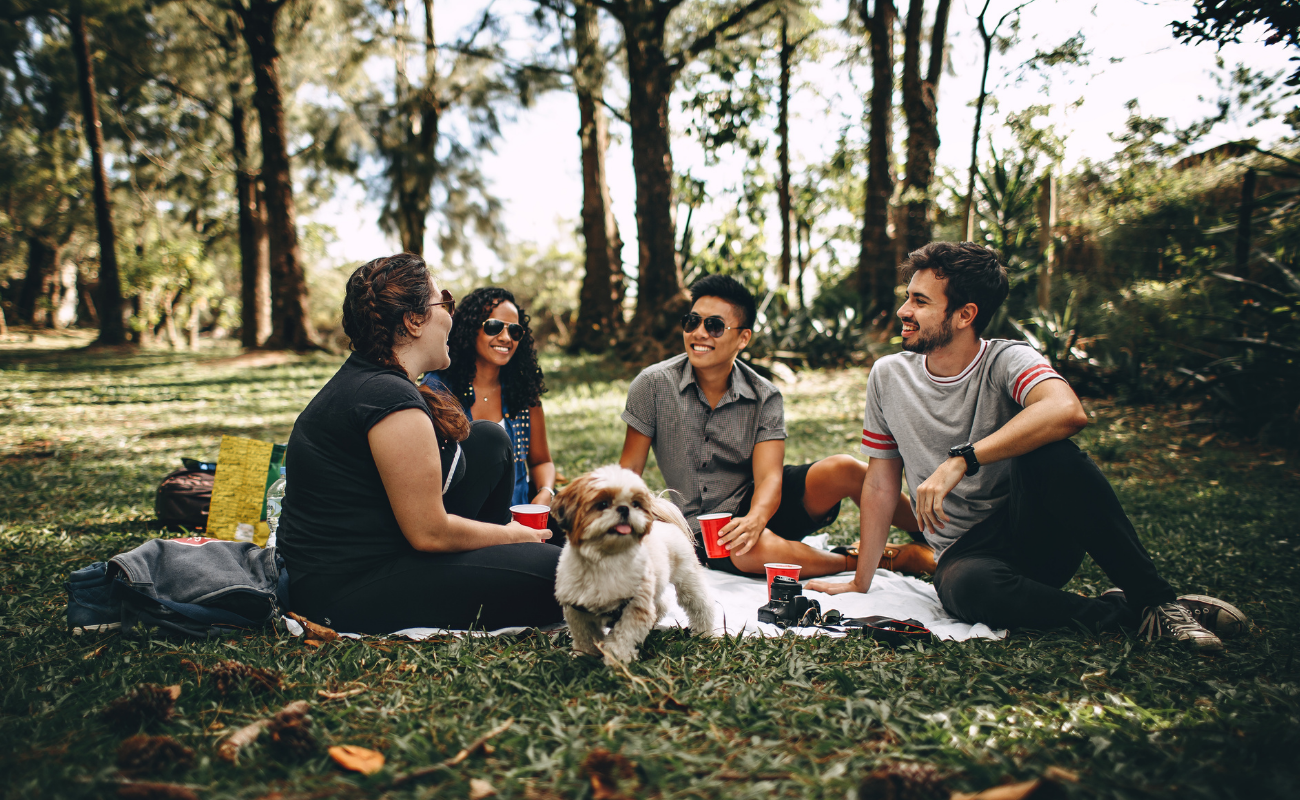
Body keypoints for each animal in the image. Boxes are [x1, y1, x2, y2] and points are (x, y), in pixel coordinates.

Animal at [548, 465, 712, 666]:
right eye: (602, 504)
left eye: (635, 504)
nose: (624, 509)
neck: (605, 559)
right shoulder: (577, 609)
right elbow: (584, 636)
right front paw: (583, 655)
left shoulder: (635, 607)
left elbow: (623, 636)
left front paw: (616, 659)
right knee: (661, 604)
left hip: (687, 579)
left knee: (700, 605)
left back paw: (705, 633)